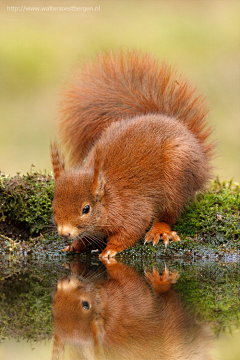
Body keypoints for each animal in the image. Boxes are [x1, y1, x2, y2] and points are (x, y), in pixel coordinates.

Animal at [50, 51, 214, 258]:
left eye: (86, 209)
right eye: (54, 203)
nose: (64, 233)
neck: (110, 198)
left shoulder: (133, 210)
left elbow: (130, 231)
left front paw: (110, 250)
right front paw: (76, 245)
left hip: (177, 177)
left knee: (170, 213)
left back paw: (159, 230)